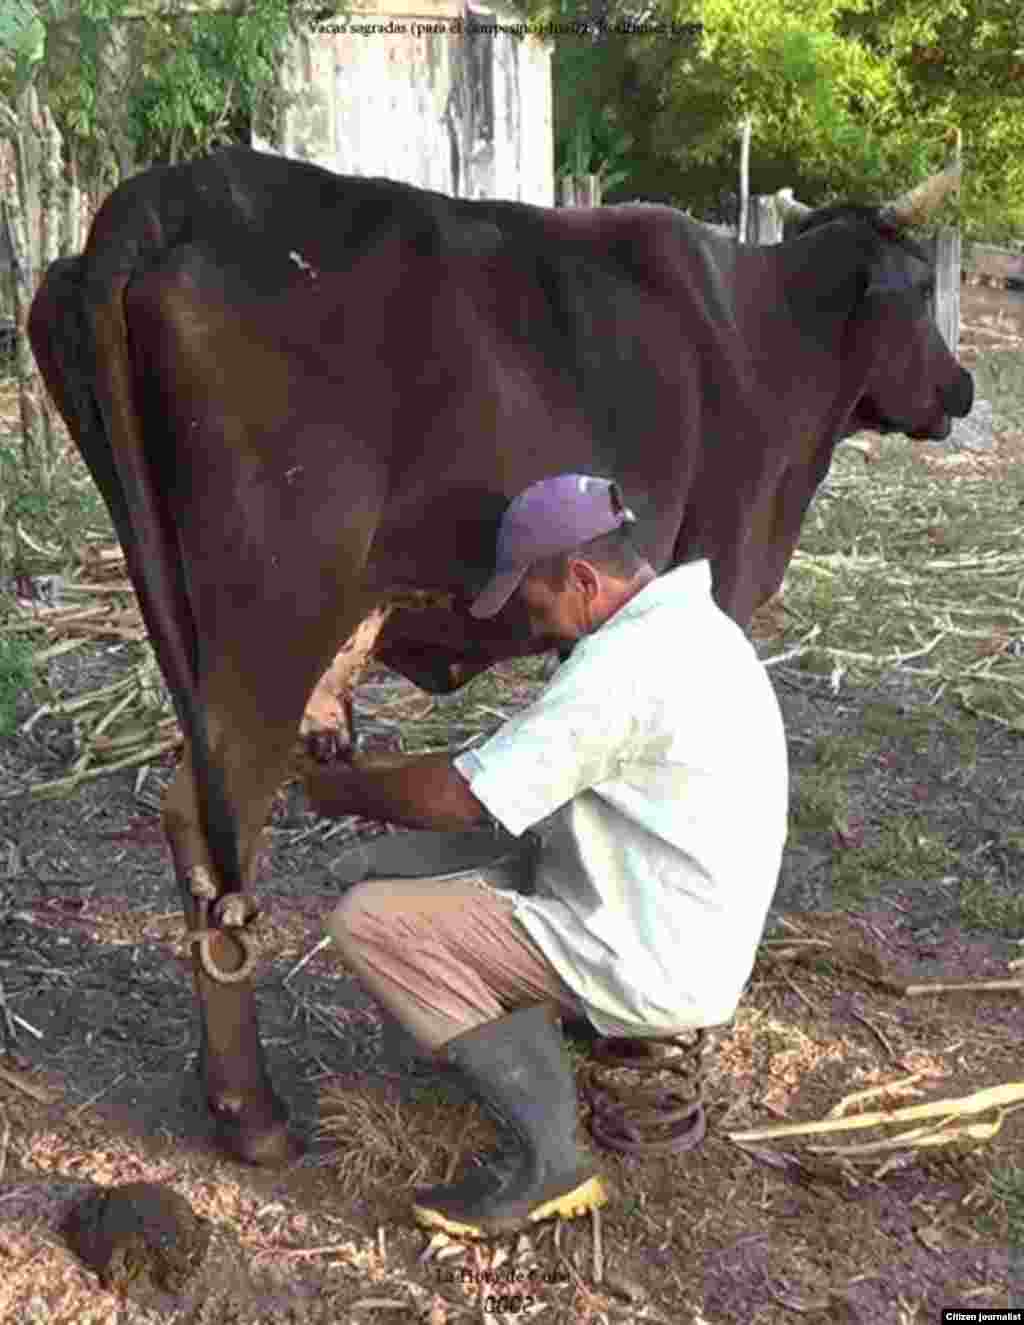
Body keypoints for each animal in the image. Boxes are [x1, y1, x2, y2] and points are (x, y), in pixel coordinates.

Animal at [29, 142, 974, 1160]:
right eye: (920, 285)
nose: (961, 387)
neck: (767, 342)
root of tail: (166, 195)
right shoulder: (711, 570)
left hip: (177, 612)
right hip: (277, 615)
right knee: (222, 820)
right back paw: (254, 1112)